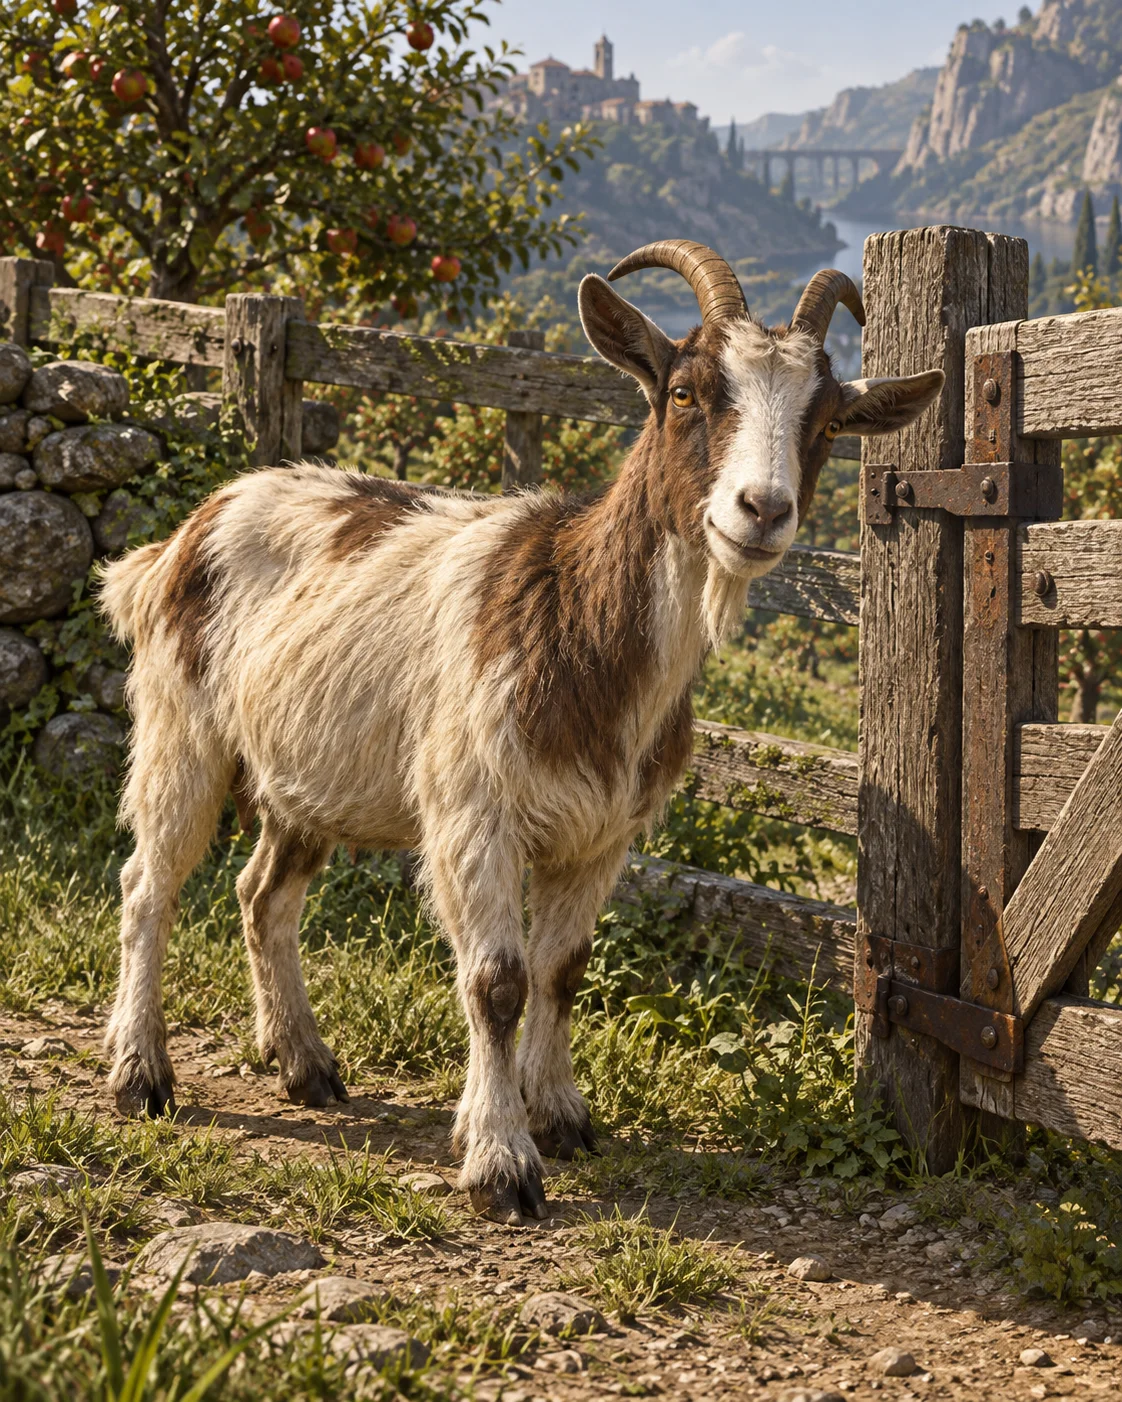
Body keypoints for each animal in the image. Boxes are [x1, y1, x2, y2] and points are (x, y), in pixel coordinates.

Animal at [99, 240, 944, 1225]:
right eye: (685, 391)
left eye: (830, 419)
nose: (762, 510)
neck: (576, 620)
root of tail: (188, 530)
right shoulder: (476, 812)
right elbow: (495, 982)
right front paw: (500, 1160)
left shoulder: (602, 836)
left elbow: (562, 969)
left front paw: (560, 1114)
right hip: (180, 727)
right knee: (147, 885)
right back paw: (141, 1074)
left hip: (304, 776)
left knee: (261, 894)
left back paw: (304, 1063)